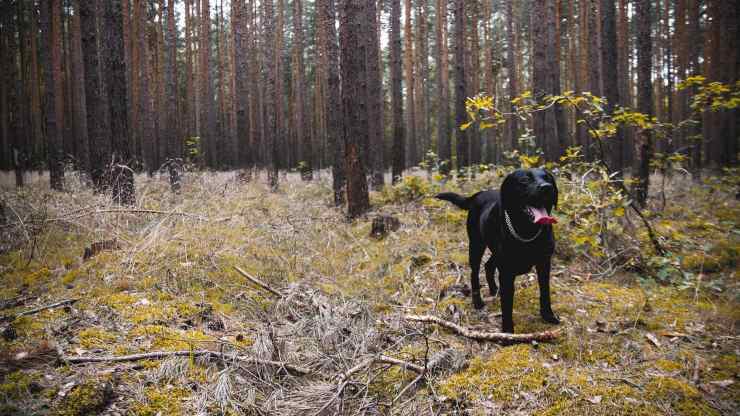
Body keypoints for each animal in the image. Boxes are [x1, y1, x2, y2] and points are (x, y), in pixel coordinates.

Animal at [434, 167, 560, 334]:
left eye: (548, 178)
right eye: (524, 180)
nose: (547, 187)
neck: (528, 232)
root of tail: (477, 194)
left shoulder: (544, 264)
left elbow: (545, 292)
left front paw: (548, 316)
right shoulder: (506, 272)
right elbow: (507, 305)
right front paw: (508, 332)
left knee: (488, 265)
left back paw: (494, 289)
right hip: (476, 245)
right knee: (474, 273)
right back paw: (478, 301)